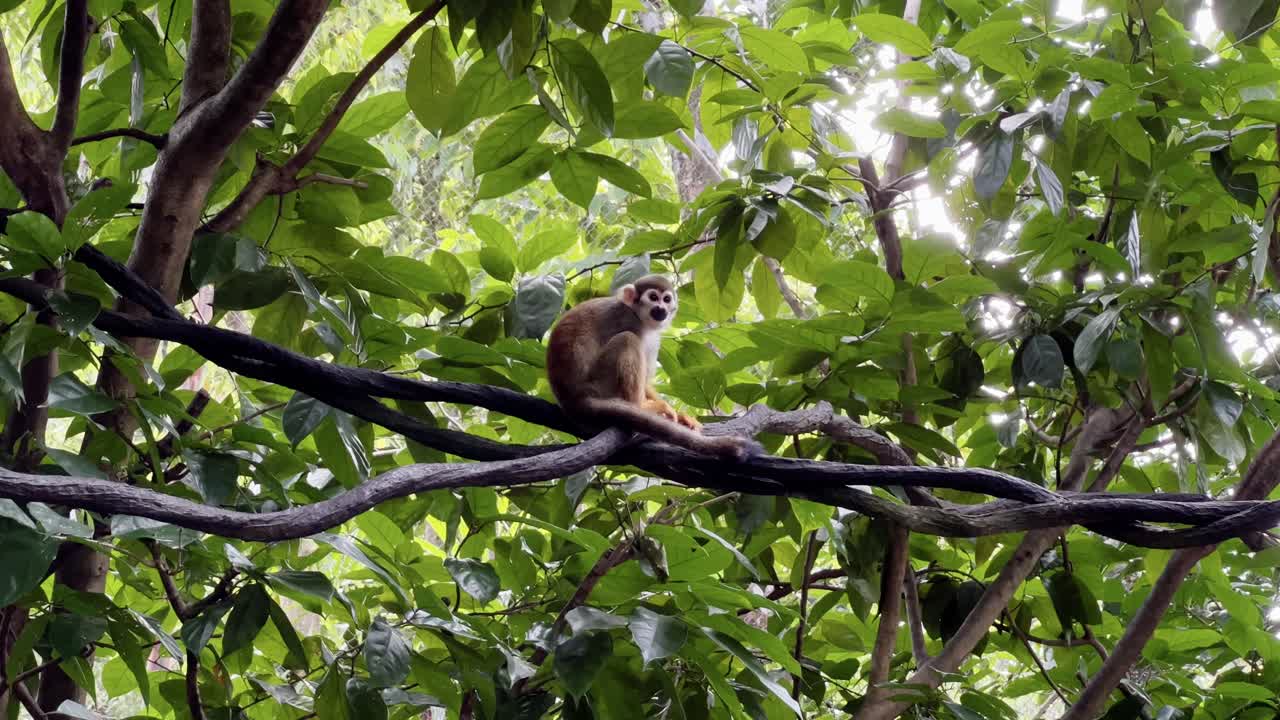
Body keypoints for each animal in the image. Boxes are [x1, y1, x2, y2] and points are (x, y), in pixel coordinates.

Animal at [546, 274, 761, 461]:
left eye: (666, 299)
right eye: (653, 297)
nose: (661, 308)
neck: (638, 315)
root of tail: (574, 399)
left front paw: (680, 417)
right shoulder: (626, 320)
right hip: (599, 384)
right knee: (627, 339)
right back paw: (639, 405)